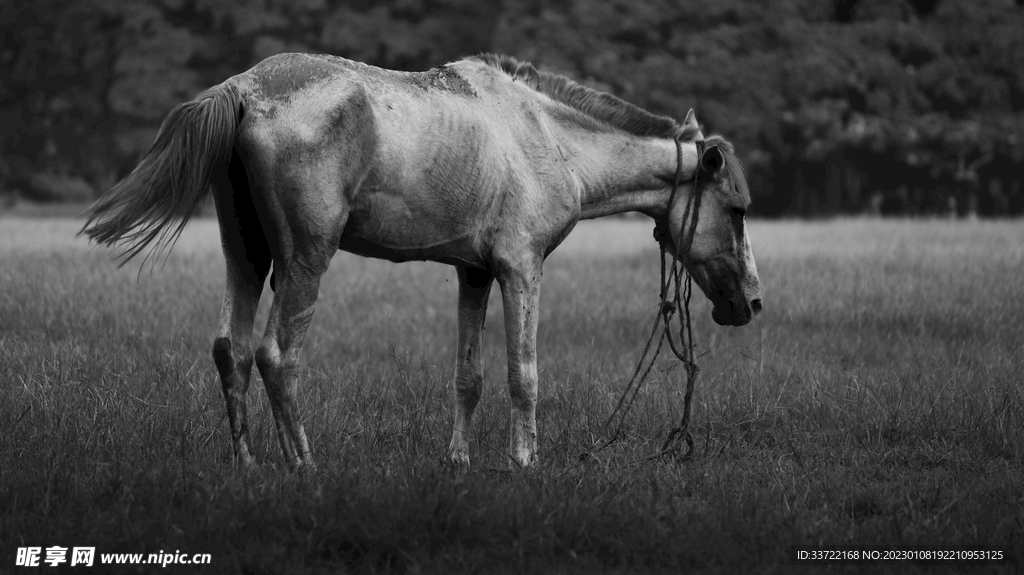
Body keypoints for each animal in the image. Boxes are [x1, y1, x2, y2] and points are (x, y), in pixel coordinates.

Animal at [82, 53, 762, 470]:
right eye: (737, 209)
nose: (750, 302)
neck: (547, 139)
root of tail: (243, 89)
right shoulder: (521, 269)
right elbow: (523, 374)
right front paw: (524, 461)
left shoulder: (475, 273)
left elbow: (469, 376)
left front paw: (458, 461)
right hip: (303, 261)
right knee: (278, 355)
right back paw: (303, 464)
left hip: (246, 256)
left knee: (233, 350)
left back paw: (247, 464)